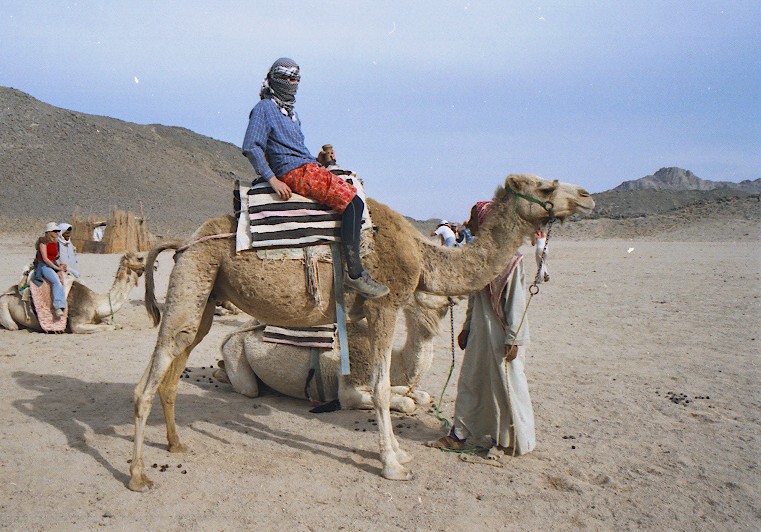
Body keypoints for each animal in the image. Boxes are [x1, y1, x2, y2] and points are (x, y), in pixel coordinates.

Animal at [0, 252, 148, 333]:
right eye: (140, 258)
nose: (152, 264)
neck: (96, 303)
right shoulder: (77, 324)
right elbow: (110, 327)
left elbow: (114, 324)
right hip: (4, 309)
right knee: (13, 326)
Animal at [215, 291, 453, 412]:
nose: (452, 299)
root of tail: (232, 334)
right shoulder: (349, 389)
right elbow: (407, 403)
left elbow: (419, 396)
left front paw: (413, 393)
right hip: (236, 349)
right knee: (249, 388)